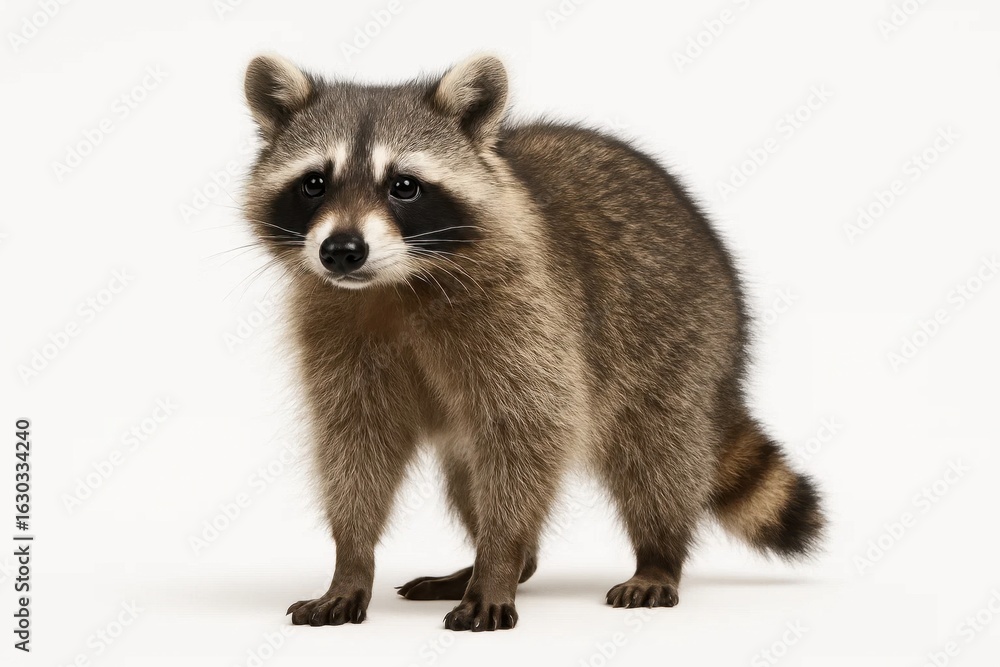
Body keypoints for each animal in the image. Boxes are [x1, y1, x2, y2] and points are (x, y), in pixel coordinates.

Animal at [241, 53, 825, 632]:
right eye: (315, 183)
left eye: (404, 185)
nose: (342, 251)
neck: (397, 281)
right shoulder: (335, 325)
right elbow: (355, 443)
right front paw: (351, 560)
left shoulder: (528, 315)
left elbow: (528, 434)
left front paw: (499, 560)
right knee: (470, 474)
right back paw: (512, 562)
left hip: (683, 337)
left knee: (658, 454)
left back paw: (655, 553)